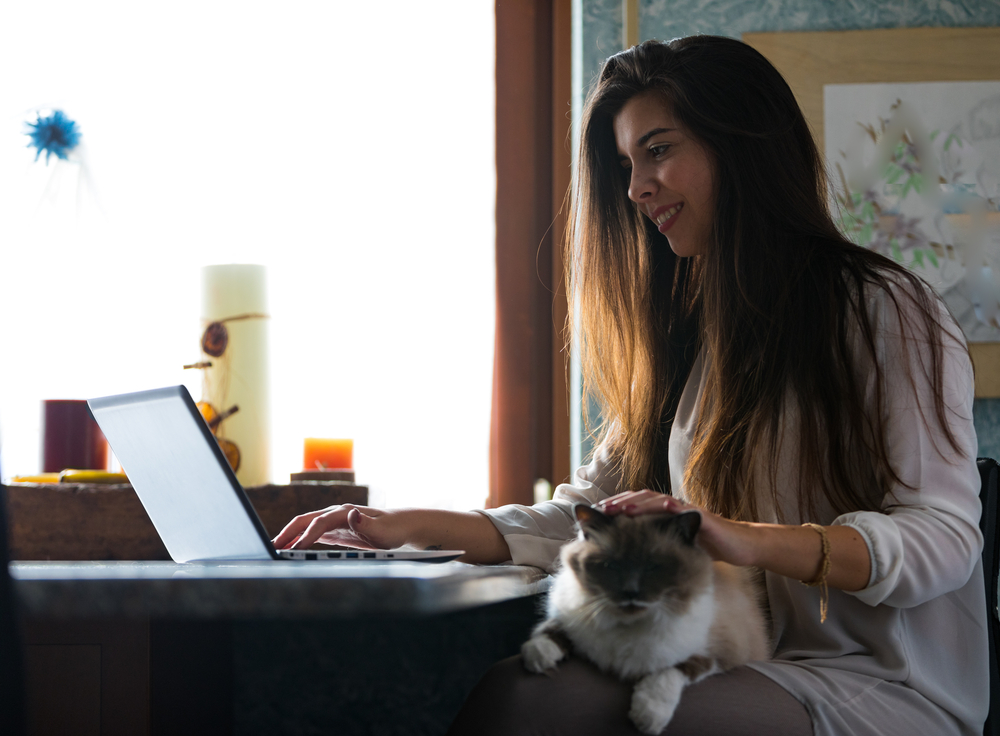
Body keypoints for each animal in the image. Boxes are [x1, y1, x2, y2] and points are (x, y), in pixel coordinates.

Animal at [520, 504, 768, 732]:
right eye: (611, 566)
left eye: (653, 567)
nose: (631, 592)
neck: (627, 626)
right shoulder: (573, 617)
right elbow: (552, 630)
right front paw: (538, 657)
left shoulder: (716, 653)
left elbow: (668, 673)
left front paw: (647, 717)